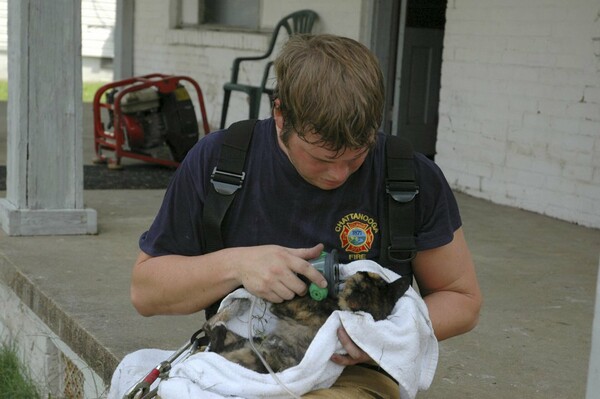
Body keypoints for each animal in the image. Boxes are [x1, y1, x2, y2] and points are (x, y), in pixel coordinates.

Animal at [204, 272, 410, 376]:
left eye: (366, 278)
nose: (361, 270)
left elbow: (291, 296)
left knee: (212, 341)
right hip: (247, 341)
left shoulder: (289, 307)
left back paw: (221, 327)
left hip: (248, 352)